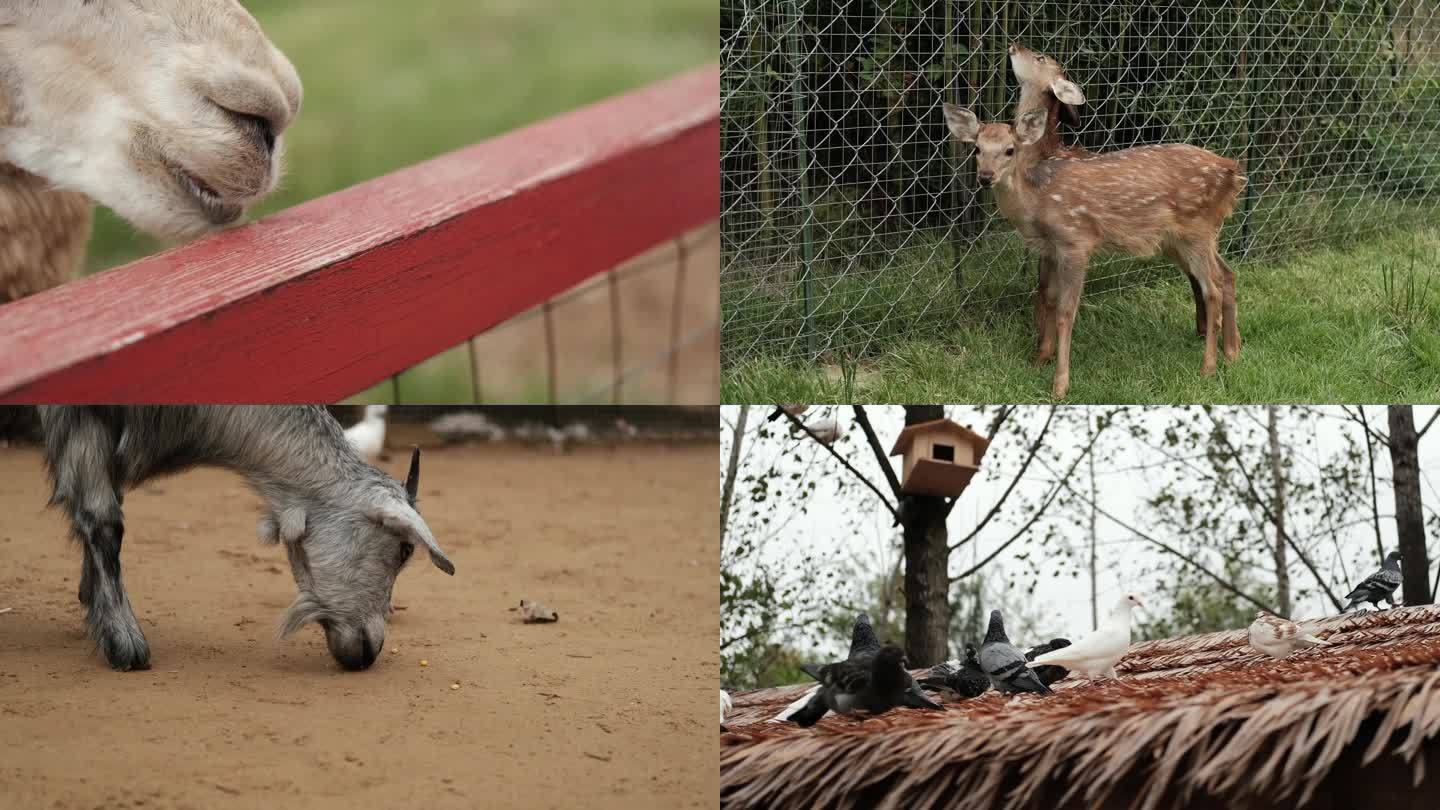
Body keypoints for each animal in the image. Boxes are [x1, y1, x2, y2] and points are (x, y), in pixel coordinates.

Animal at [39, 403, 452, 668]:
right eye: (403, 549)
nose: (372, 650)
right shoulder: (80, 419)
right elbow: (105, 520)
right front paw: (124, 641)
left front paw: (92, 603)